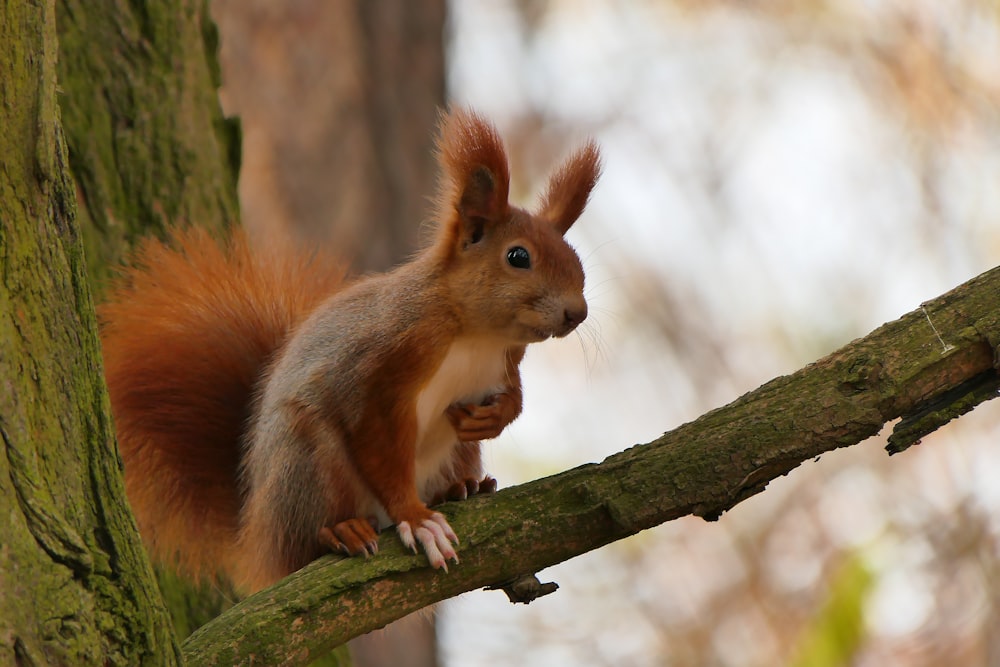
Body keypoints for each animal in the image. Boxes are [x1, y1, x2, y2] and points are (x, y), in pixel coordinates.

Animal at [99, 109, 600, 596]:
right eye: (518, 257)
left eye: (576, 258)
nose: (577, 312)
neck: (478, 335)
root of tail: (258, 530)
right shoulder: (383, 365)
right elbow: (376, 440)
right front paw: (416, 518)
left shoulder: (505, 361)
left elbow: (513, 395)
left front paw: (493, 418)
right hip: (309, 458)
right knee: (309, 535)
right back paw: (342, 530)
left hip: (453, 452)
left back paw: (463, 487)